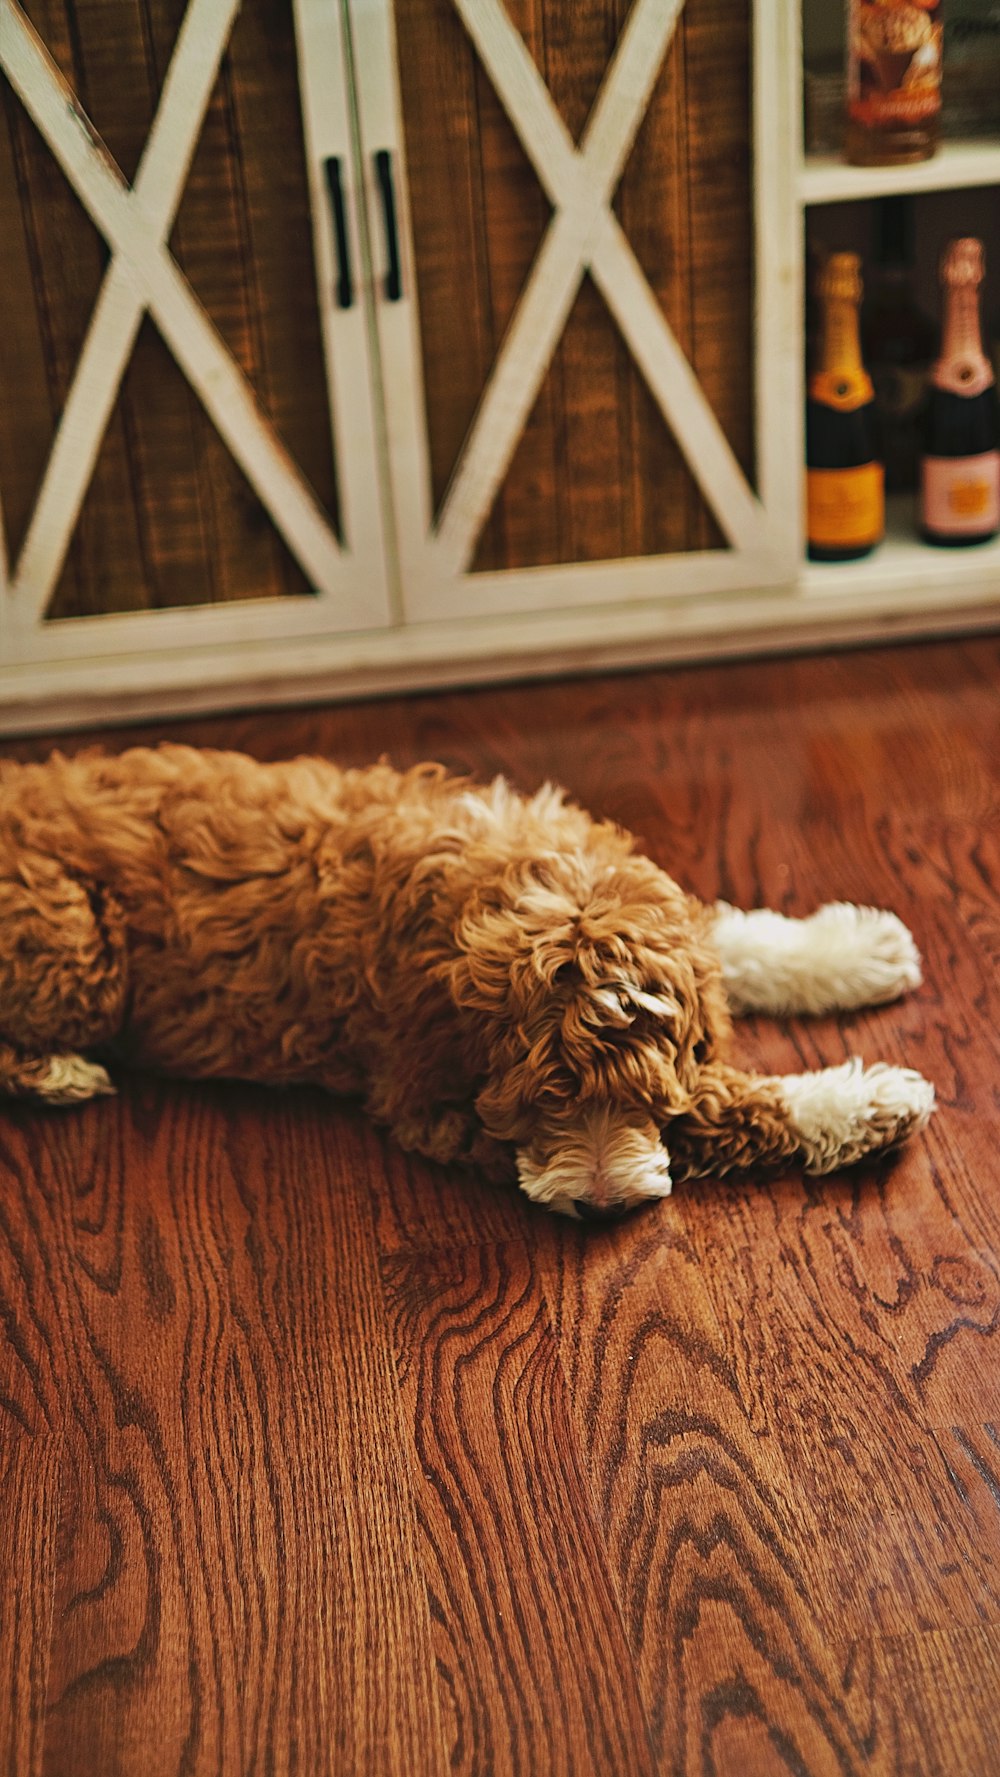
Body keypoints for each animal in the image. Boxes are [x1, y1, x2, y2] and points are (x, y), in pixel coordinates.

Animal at [1, 742, 937, 1215]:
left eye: (640, 1099)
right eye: (542, 1103)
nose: (602, 1207)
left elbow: (728, 938)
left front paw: (854, 952)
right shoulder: (428, 1100)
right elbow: (720, 1107)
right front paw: (867, 1103)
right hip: (76, 948)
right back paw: (59, 1072)